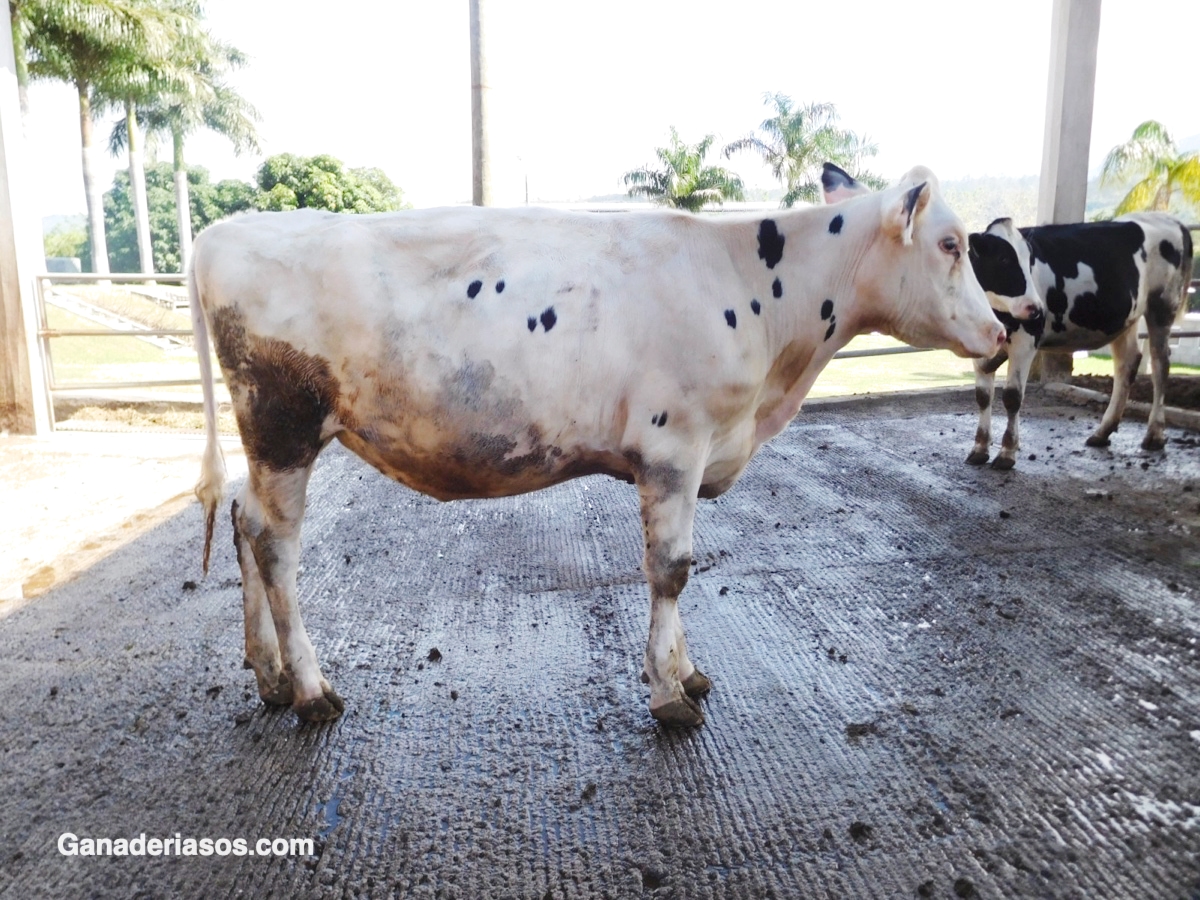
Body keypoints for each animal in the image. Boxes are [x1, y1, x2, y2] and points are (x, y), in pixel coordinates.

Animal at [192, 170, 1008, 734]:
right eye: (951, 244)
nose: (1002, 330)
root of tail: (222, 233)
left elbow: (680, 569)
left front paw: (688, 673)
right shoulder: (674, 447)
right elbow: (671, 570)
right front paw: (670, 694)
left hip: (269, 440)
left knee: (242, 522)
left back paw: (267, 676)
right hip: (285, 426)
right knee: (277, 547)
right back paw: (309, 690)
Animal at [825, 164, 1200, 468]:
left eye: (1028, 259)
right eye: (1004, 259)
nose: (1037, 308)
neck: (998, 310)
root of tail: (1170, 220)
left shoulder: (1026, 340)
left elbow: (1012, 397)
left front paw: (1007, 453)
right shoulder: (983, 341)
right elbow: (982, 396)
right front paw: (979, 448)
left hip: (1162, 307)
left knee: (1161, 365)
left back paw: (1154, 434)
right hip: (1126, 319)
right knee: (1127, 365)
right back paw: (1103, 431)